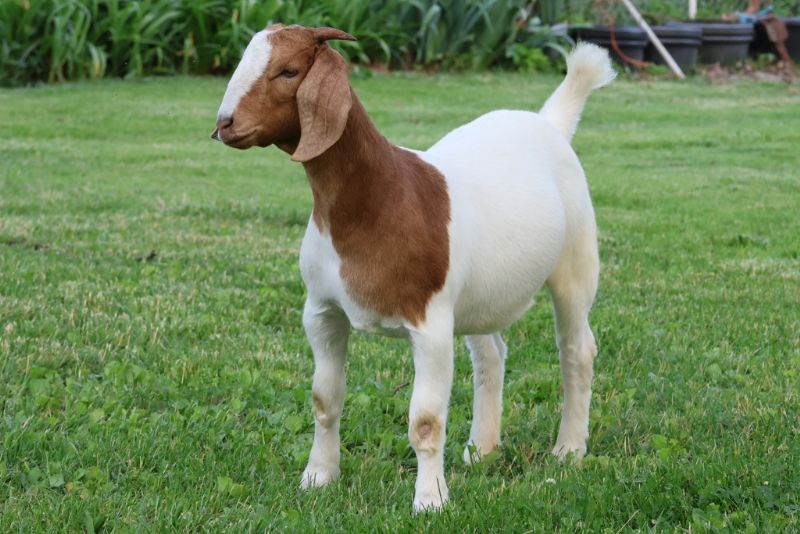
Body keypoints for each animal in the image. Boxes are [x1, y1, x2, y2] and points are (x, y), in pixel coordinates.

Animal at [212, 23, 615, 512]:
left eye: (288, 71)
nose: (225, 124)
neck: (380, 197)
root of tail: (548, 122)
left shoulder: (430, 324)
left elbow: (425, 421)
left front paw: (430, 500)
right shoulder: (322, 311)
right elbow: (325, 400)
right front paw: (318, 478)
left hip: (575, 259)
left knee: (577, 349)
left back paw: (569, 449)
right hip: (478, 294)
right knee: (491, 354)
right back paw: (482, 448)